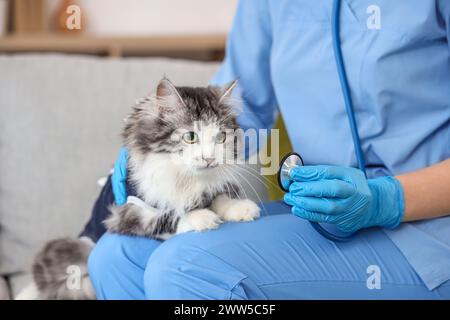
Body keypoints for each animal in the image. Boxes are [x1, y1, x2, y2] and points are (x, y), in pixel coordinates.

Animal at [20, 77, 260, 300]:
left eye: (221, 137)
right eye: (190, 137)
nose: (210, 159)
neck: (184, 178)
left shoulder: (208, 188)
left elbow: (219, 197)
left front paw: (241, 209)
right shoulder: (128, 213)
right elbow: (169, 216)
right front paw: (202, 217)